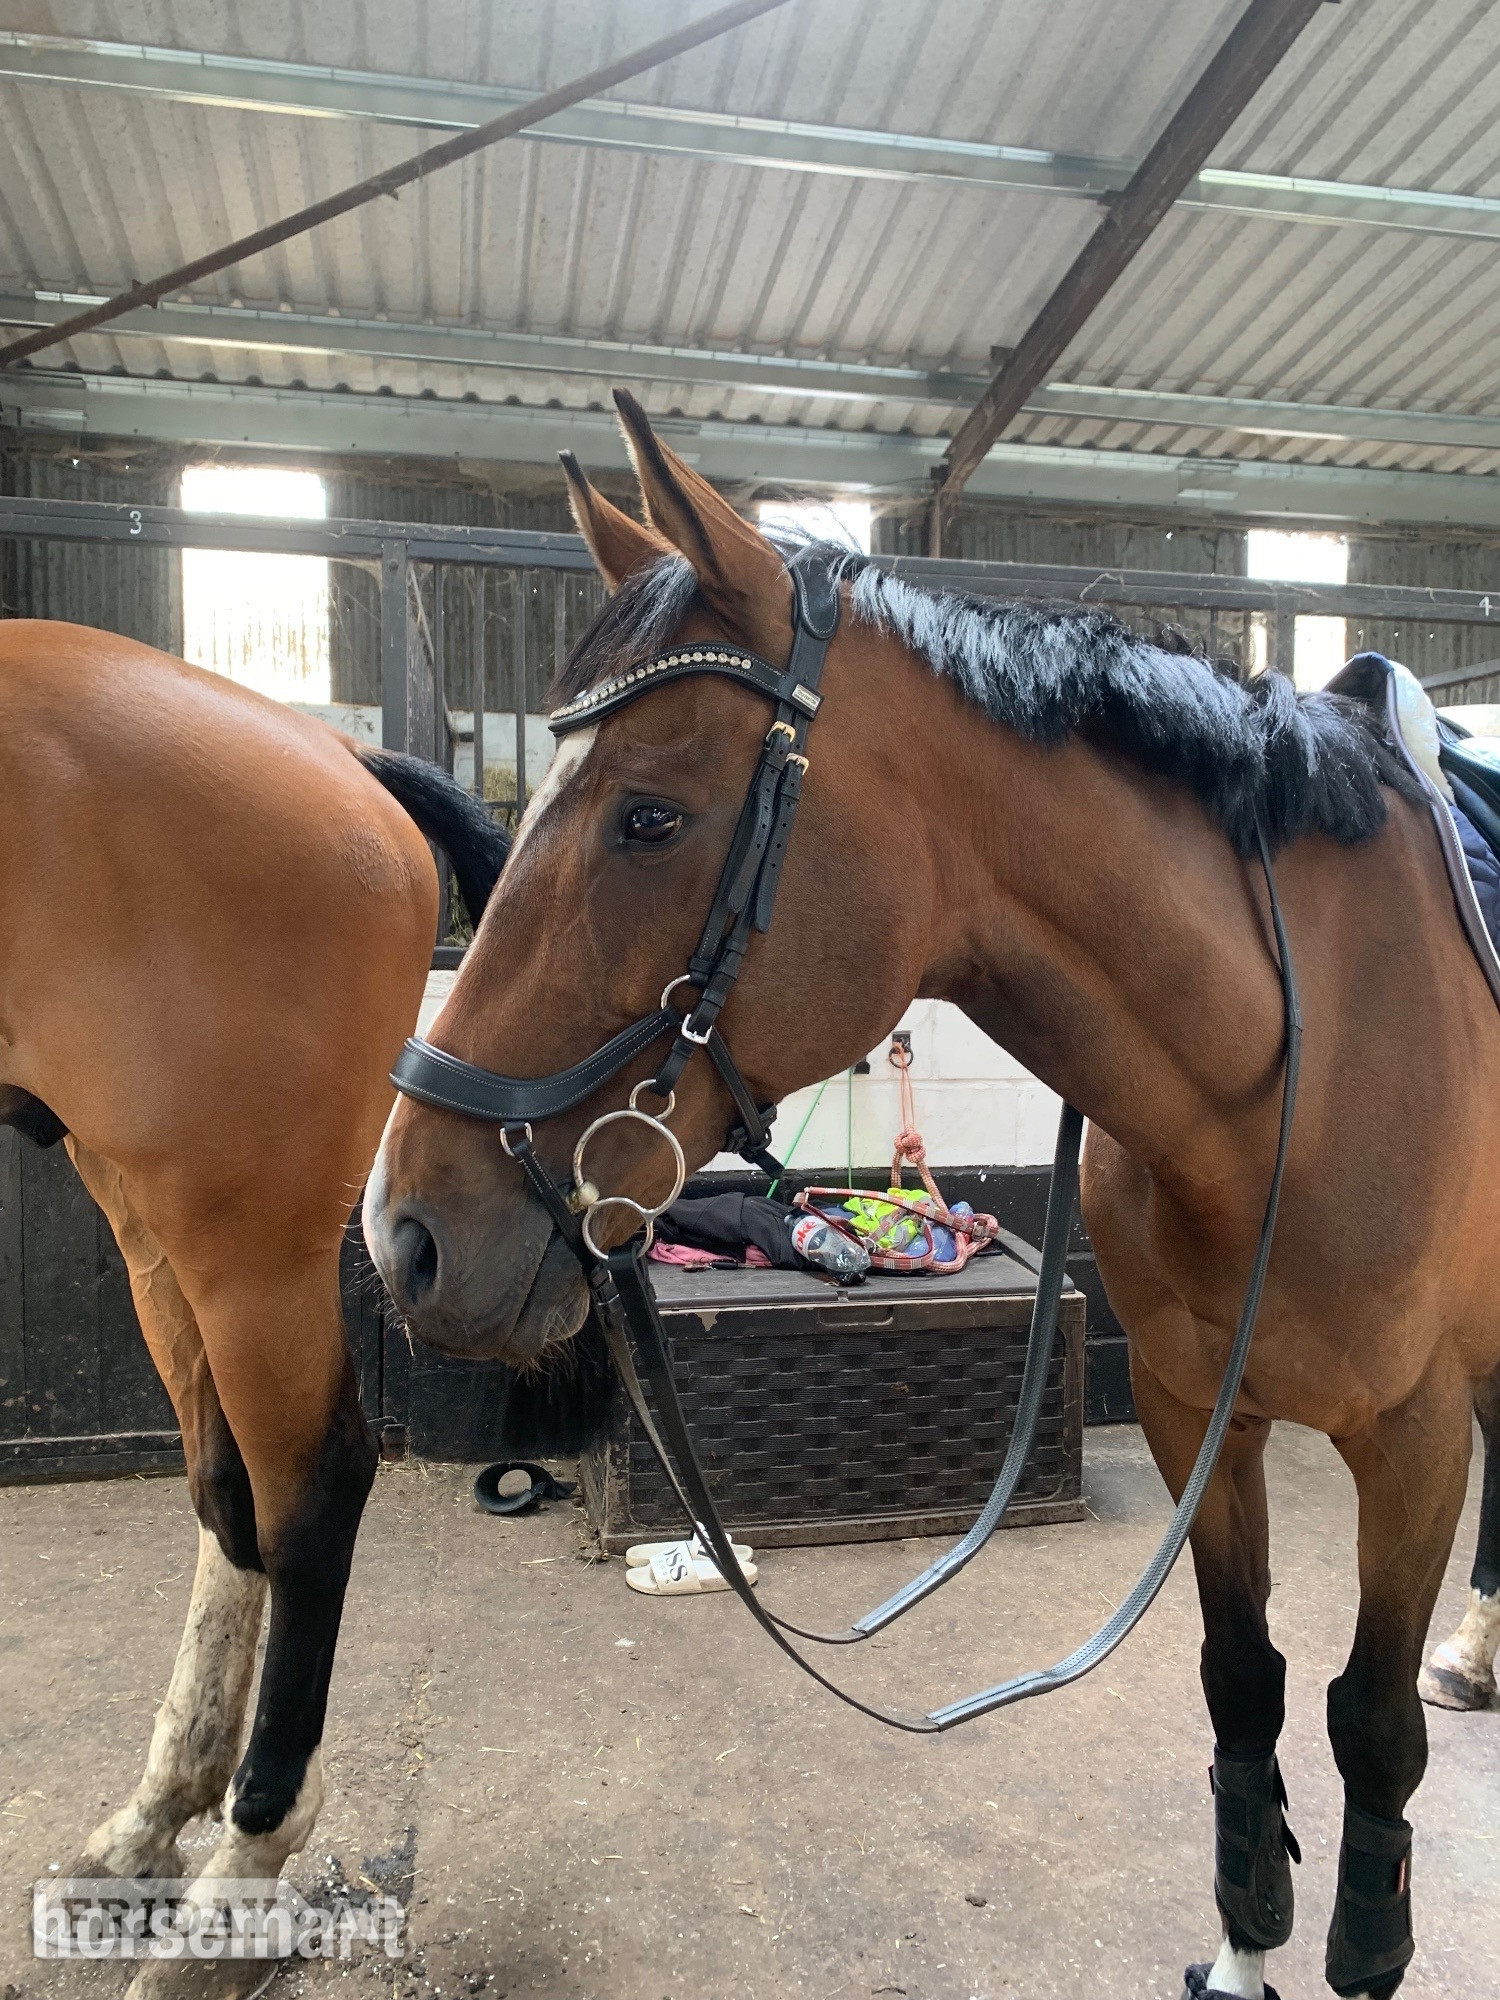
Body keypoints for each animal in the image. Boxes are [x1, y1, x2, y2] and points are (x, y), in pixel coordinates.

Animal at [0, 619, 507, 2000]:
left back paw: (239, 1868)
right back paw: (158, 1813)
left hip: (240, 1230)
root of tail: (336, 759)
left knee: (305, 1489)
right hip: (142, 1203)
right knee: (229, 1488)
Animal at [363, 391, 1500, 2000]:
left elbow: (1373, 1730)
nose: (405, 1233)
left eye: (649, 817)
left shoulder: (1414, 1441)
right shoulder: (1193, 1409)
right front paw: (1241, 1942)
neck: (1298, 1048)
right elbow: (1243, 1684)